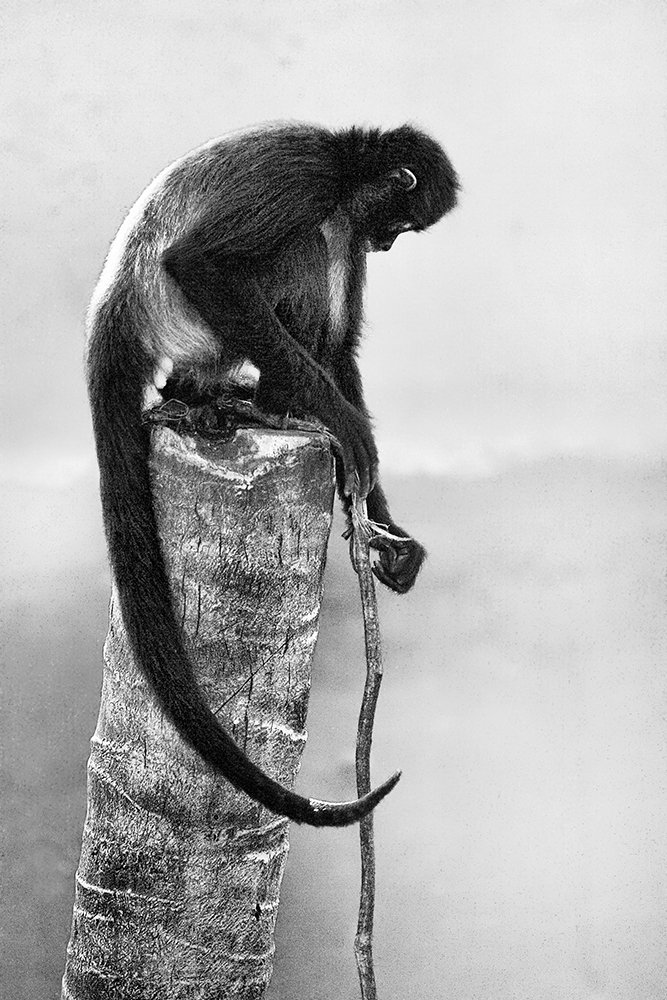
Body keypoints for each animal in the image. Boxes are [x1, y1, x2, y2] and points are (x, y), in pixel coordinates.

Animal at [86, 122, 459, 827]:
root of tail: (116, 307)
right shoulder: (307, 176)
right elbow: (200, 264)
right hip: (195, 326)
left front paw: (386, 531)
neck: (342, 162)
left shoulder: (347, 215)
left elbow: (339, 350)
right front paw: (343, 422)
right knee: (304, 242)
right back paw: (262, 402)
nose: (389, 243)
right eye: (403, 222)